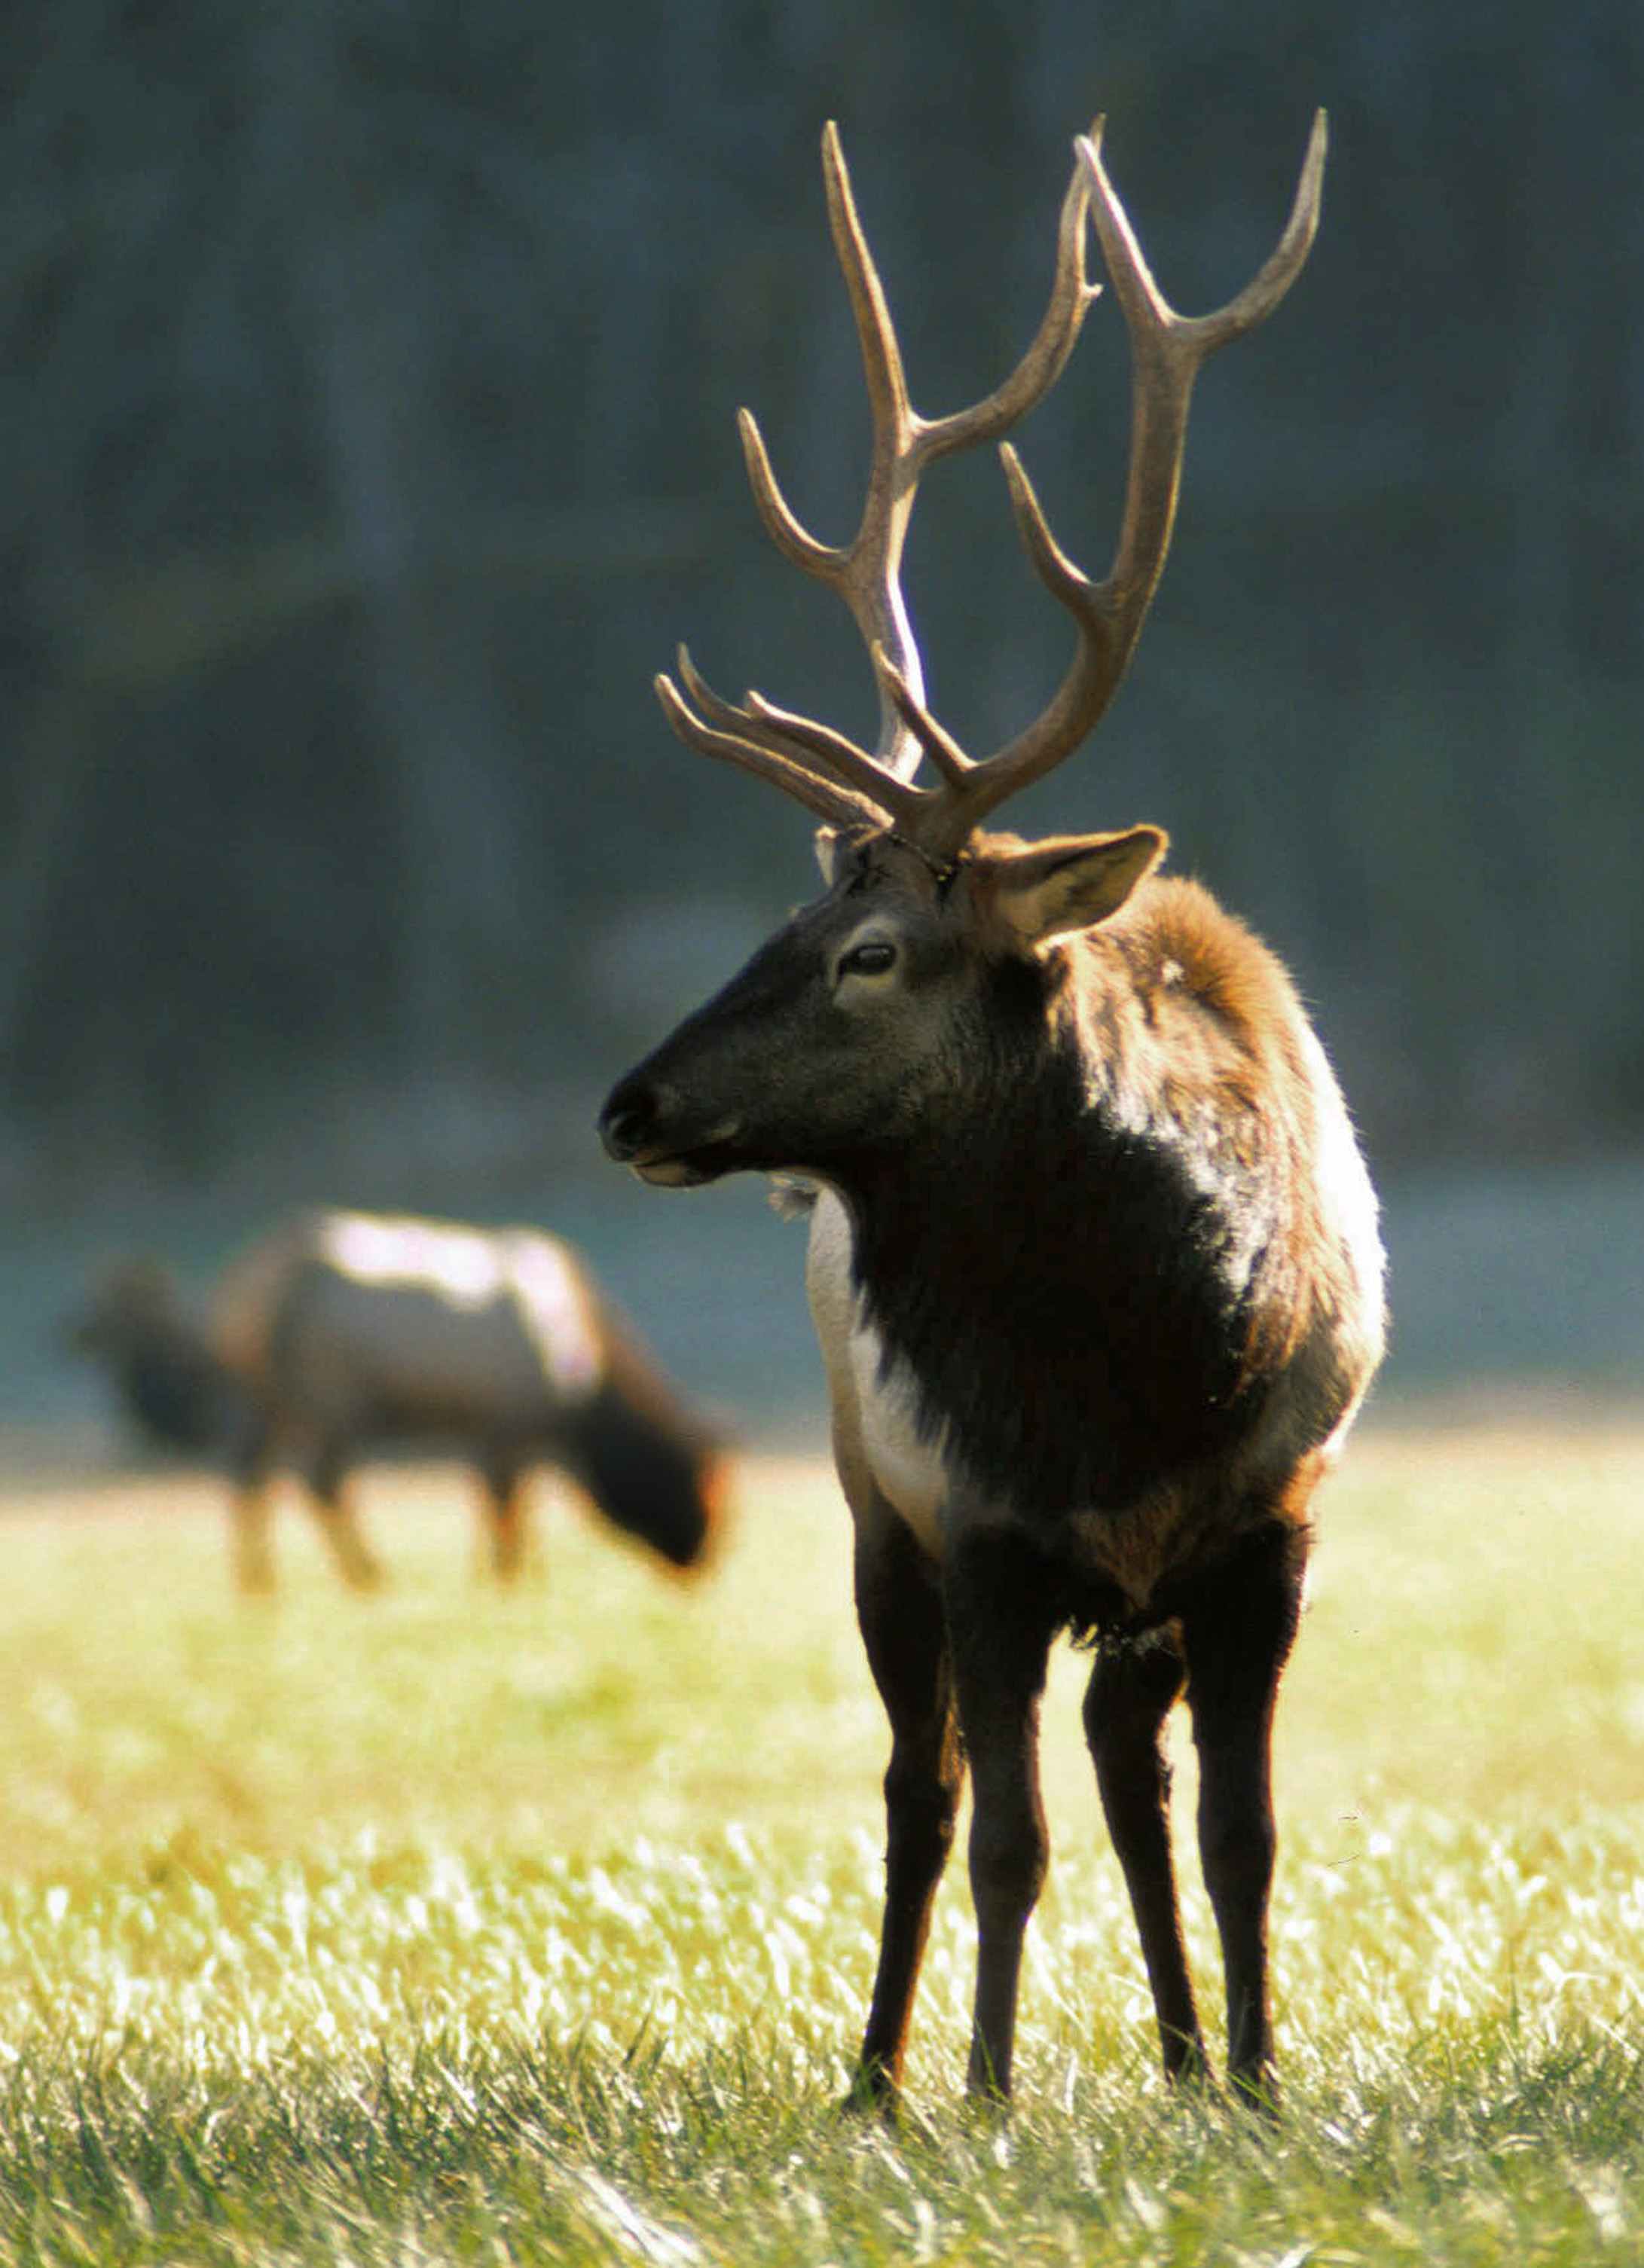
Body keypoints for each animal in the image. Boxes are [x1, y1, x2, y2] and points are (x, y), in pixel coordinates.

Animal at [68, 1209, 726, 1593]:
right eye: (702, 1489)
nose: (701, 1562)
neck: (586, 1391)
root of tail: (240, 1293)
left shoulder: (499, 1427)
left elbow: (508, 1503)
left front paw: (508, 1575)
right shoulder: (509, 1418)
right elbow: (505, 1504)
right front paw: (507, 1577)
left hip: (266, 1399)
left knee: (248, 1478)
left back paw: (259, 1583)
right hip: (326, 1395)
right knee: (320, 1482)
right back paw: (366, 1573)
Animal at [599, 112, 1384, 2112]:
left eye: (868, 951)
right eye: (782, 919)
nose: (627, 1103)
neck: (1132, 1363)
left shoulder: (1267, 1527)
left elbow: (1241, 1830)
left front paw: (1258, 2078)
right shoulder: (977, 1530)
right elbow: (999, 1831)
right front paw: (980, 2091)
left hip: (1123, 1584)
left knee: (1121, 1763)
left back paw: (1180, 2057)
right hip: (867, 1497)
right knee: (923, 1790)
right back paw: (879, 2075)